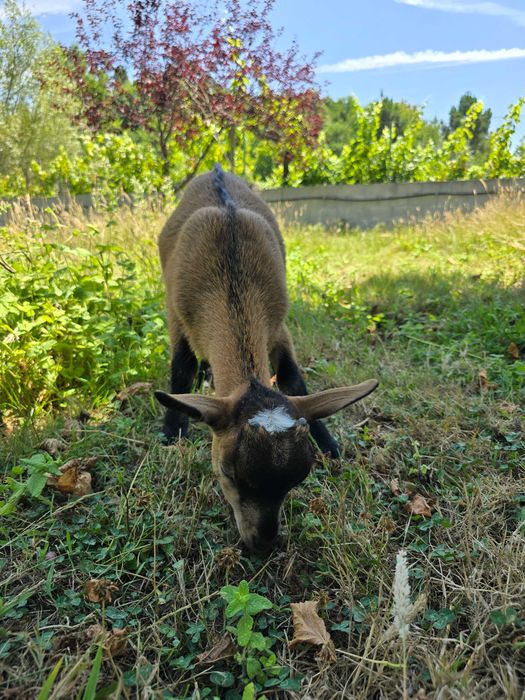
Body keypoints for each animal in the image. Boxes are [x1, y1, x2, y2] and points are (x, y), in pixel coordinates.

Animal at [155, 165, 378, 552]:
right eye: (227, 472)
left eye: (296, 481)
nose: (263, 543)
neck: (230, 276)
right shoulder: (177, 318)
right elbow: (181, 368)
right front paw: (172, 431)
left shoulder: (277, 327)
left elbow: (292, 378)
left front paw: (328, 442)